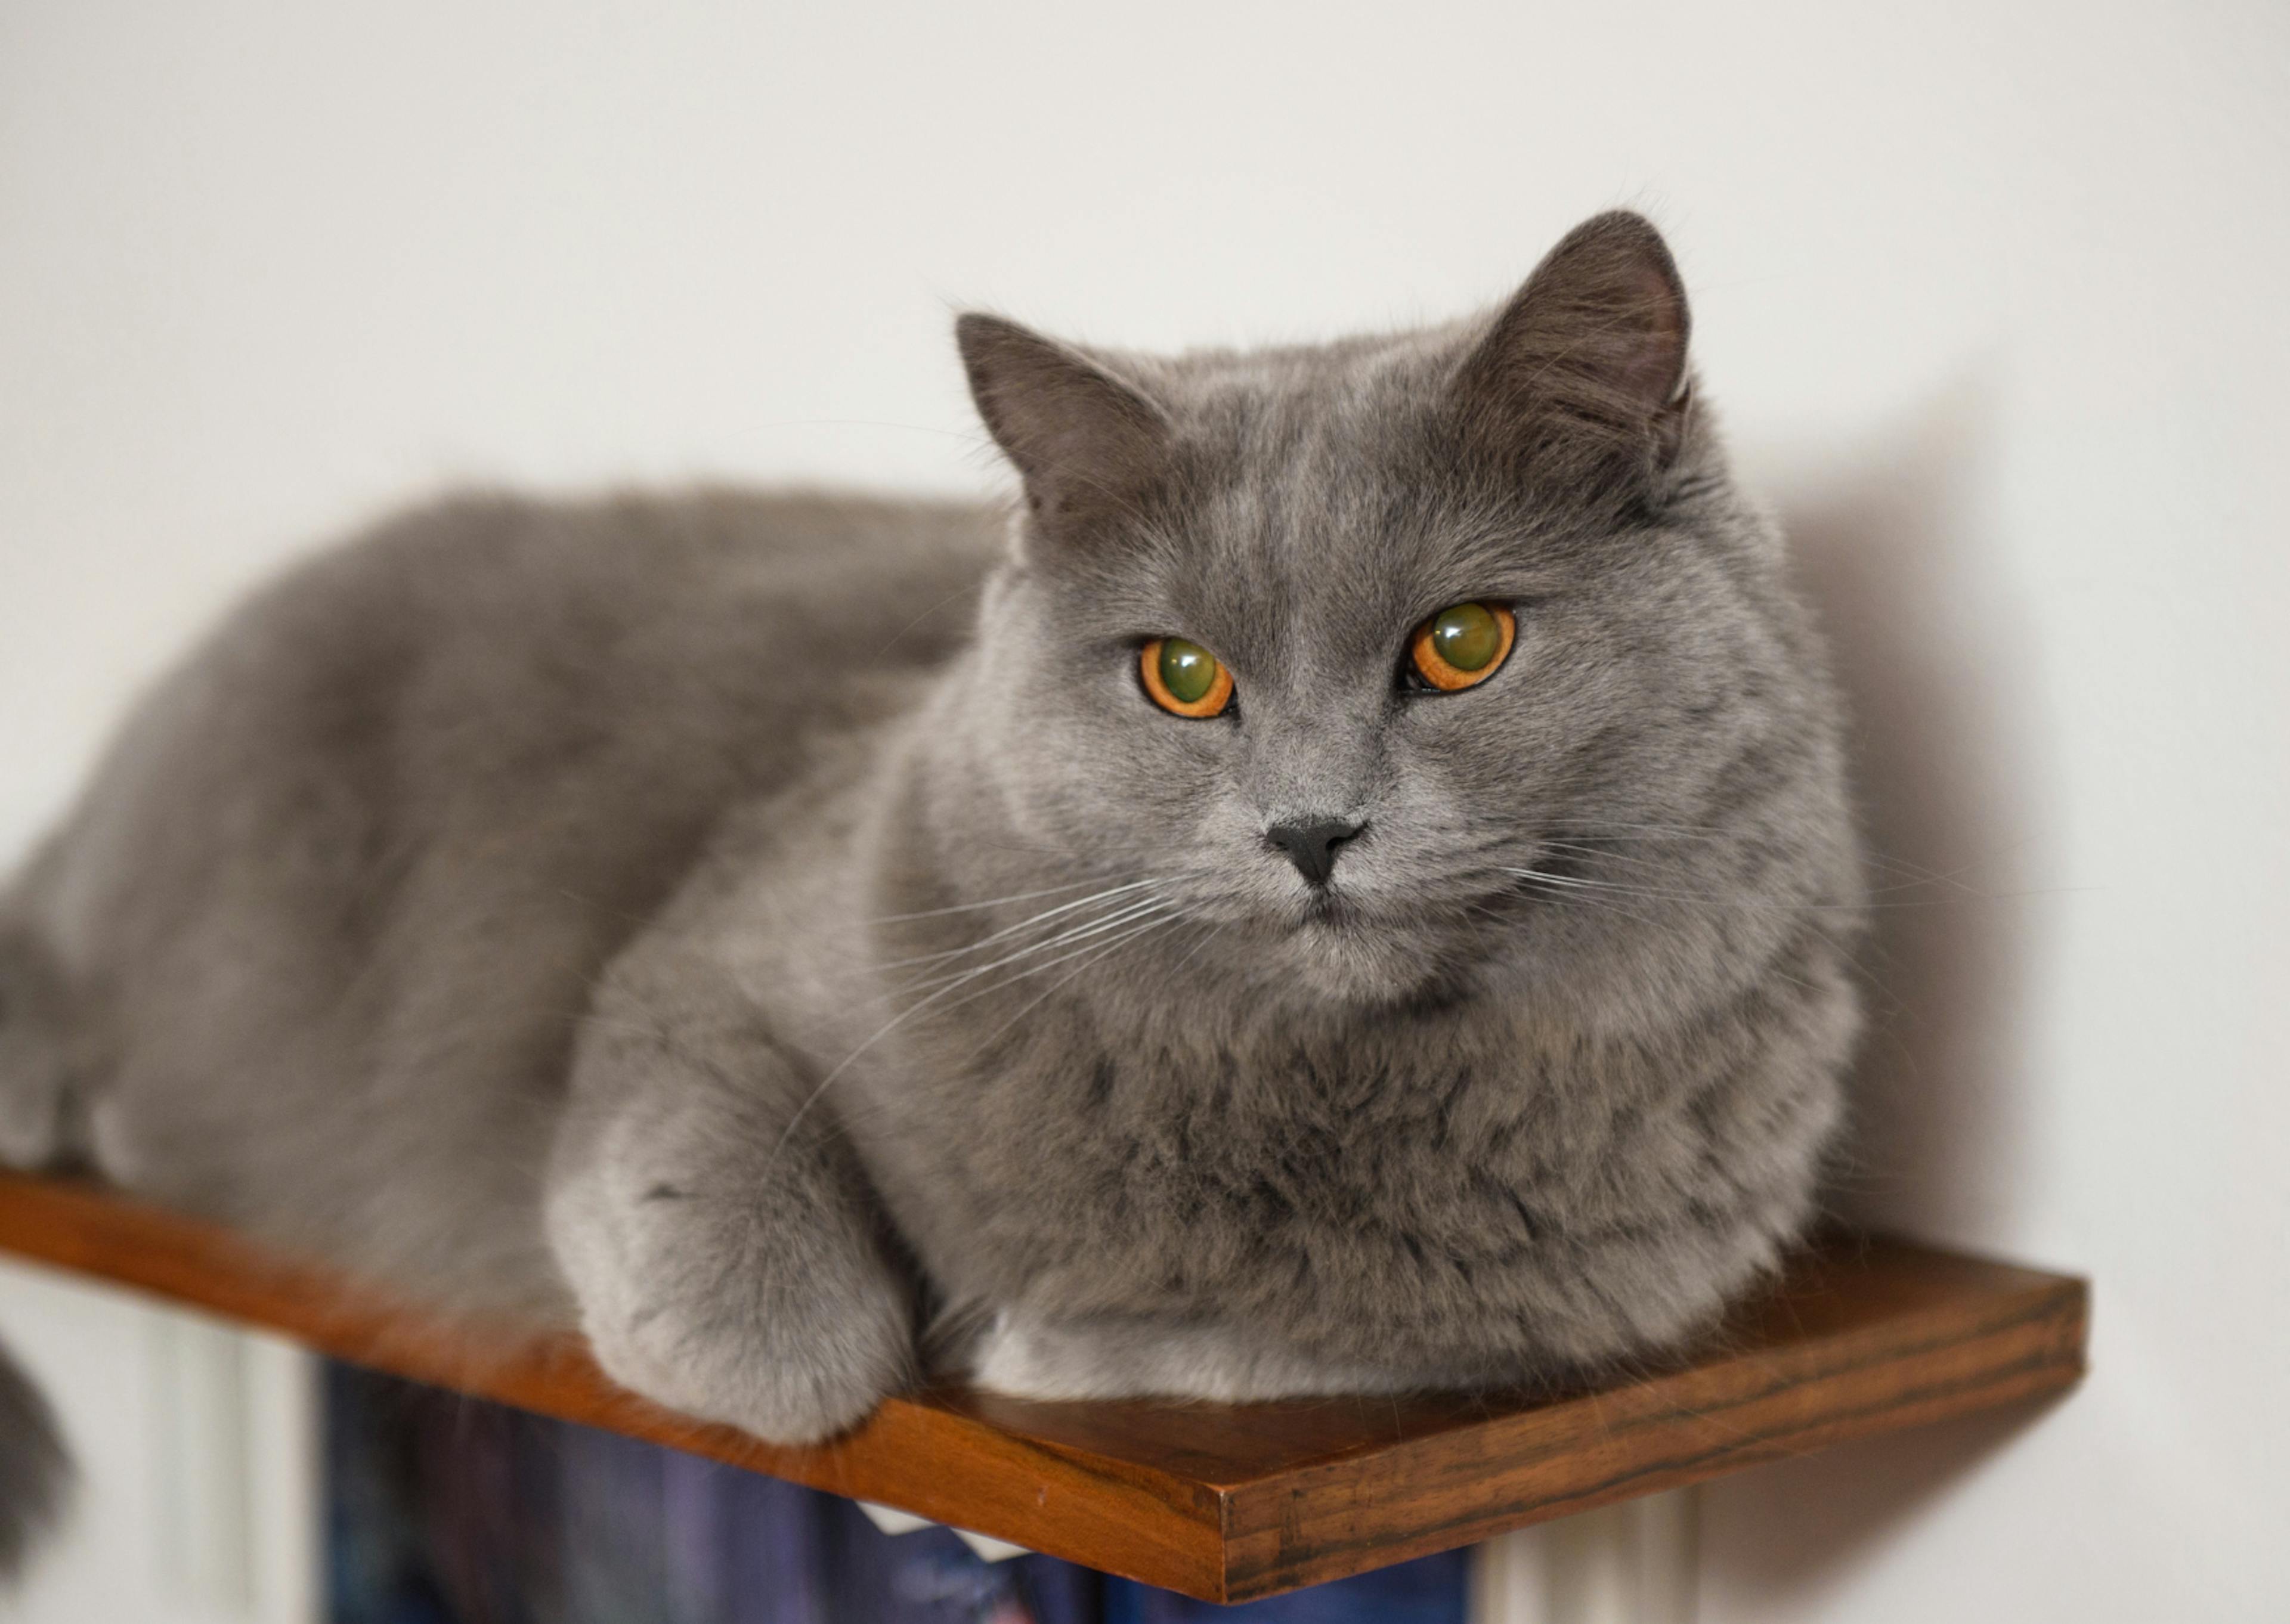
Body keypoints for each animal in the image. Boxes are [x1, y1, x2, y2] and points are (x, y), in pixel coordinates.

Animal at [0, 206, 1859, 1557]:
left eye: (1462, 645)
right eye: (1182, 676)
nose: (1312, 829)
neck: (1291, 1092)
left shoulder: (1609, 1288)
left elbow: (1302, 1329)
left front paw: (1043, 1339)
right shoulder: (707, 965)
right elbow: (754, 1276)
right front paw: (818, 1345)